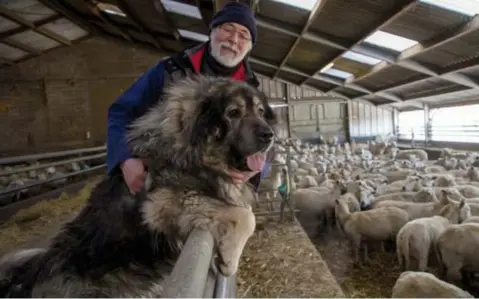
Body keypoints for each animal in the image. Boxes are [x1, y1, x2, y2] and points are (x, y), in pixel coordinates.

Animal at [0, 75, 278, 298]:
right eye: (233, 112)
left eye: (260, 111)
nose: (269, 135)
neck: (193, 151)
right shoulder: (164, 203)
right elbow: (246, 217)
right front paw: (229, 259)